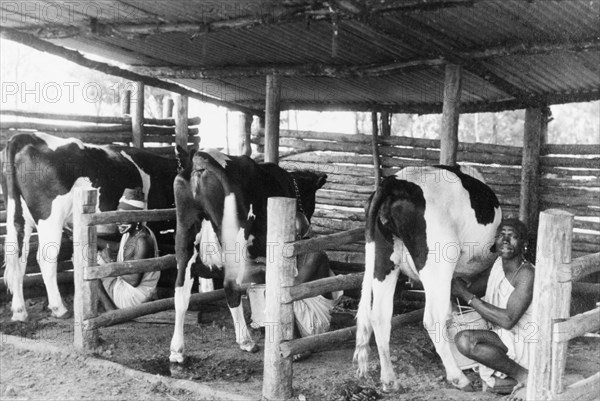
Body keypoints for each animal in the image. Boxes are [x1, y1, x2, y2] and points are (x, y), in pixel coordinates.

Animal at [1, 133, 178, 320]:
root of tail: (27, 137)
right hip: (50, 218)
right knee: (45, 259)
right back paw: (59, 309)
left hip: (18, 218)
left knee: (18, 259)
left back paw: (19, 311)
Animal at [169, 148, 328, 364]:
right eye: (312, 197)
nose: (307, 225)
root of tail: (203, 157)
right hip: (235, 238)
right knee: (230, 285)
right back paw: (245, 341)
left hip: (185, 232)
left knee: (181, 289)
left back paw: (177, 350)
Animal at [352, 165, 502, 390]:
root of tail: (395, 181)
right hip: (438, 263)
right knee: (432, 318)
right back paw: (458, 377)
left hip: (383, 260)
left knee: (379, 315)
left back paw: (389, 379)